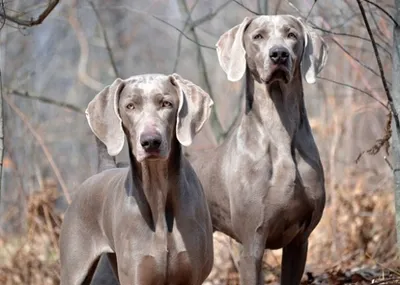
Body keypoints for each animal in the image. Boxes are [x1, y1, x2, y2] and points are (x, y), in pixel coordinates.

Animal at [58, 73, 216, 284]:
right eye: (130, 106)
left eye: (166, 103)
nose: (150, 142)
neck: (157, 191)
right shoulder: (137, 273)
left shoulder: (191, 274)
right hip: (75, 268)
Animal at [189, 15, 326, 284]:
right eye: (258, 36)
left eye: (292, 35)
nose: (279, 54)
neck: (280, 132)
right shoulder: (252, 243)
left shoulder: (299, 242)